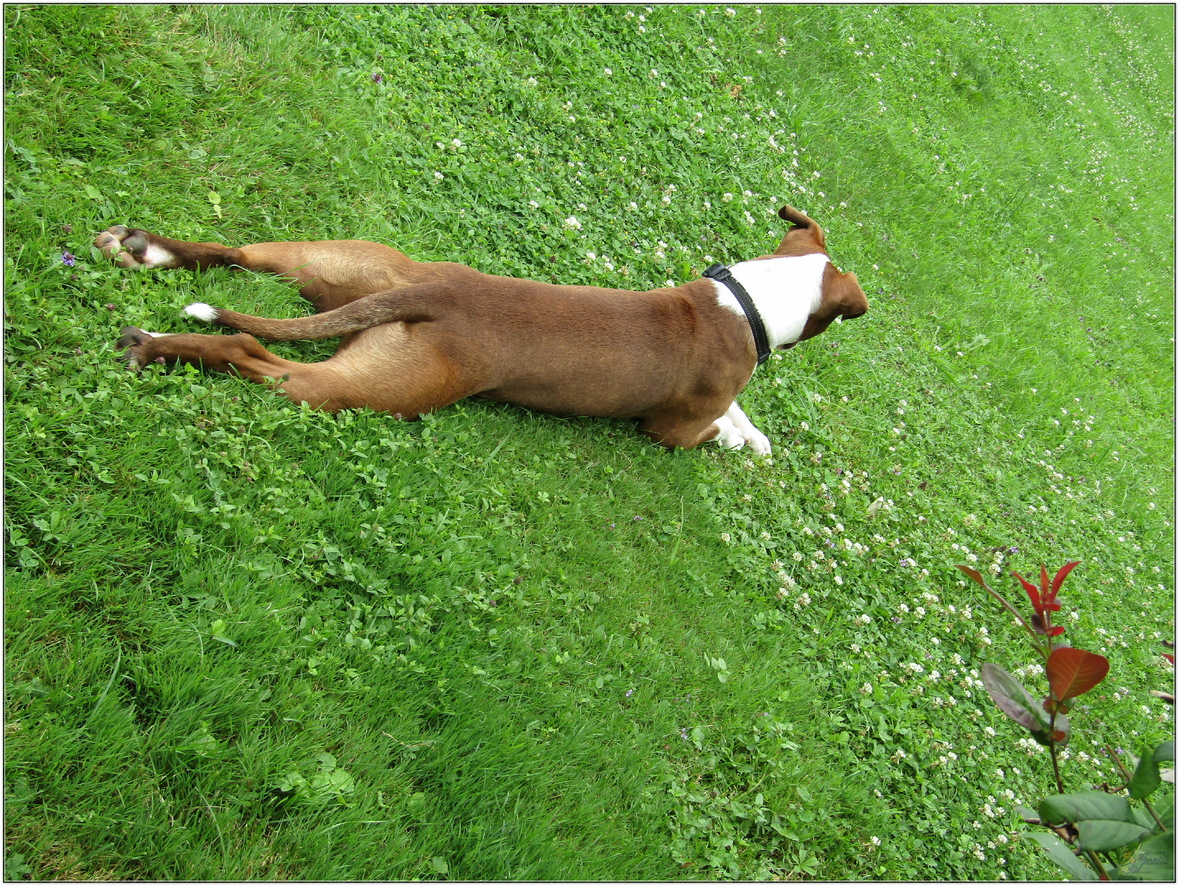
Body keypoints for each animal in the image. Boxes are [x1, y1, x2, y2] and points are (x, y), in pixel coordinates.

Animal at [99, 207, 867, 453]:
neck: (742, 300)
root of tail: (438, 292)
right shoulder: (673, 432)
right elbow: (722, 427)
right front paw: (753, 443)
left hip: (348, 264)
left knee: (238, 254)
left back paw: (146, 254)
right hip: (385, 387)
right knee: (257, 352)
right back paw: (158, 348)